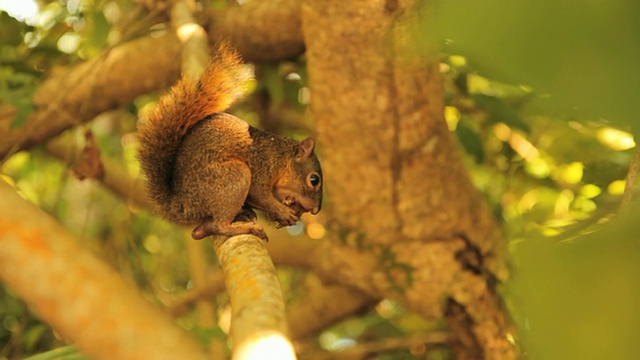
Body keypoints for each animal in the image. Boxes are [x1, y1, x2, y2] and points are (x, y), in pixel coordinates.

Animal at [138, 43, 322, 240]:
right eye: (314, 180)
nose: (315, 210)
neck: (282, 158)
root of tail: (182, 206)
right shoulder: (263, 165)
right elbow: (260, 195)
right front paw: (282, 211)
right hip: (233, 176)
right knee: (220, 225)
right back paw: (243, 228)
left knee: (200, 230)